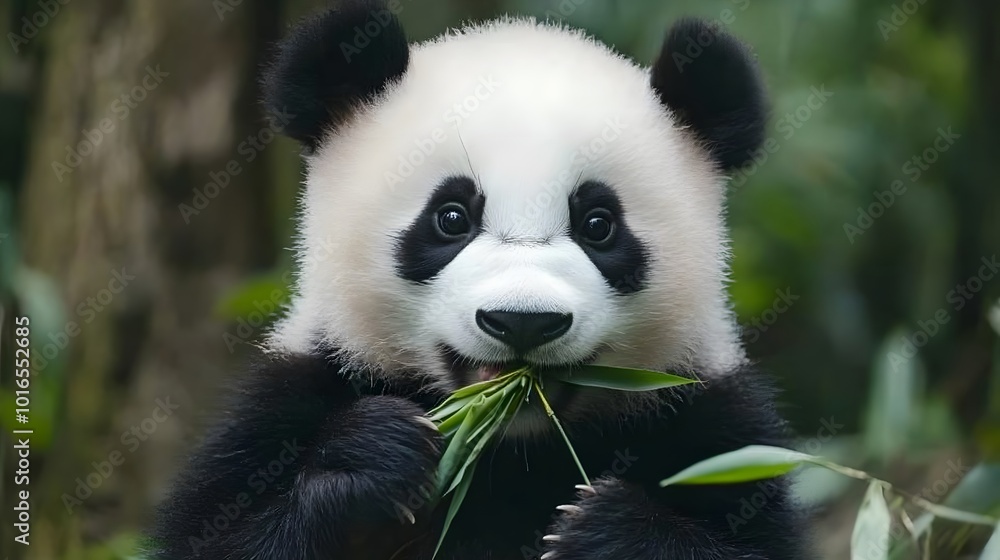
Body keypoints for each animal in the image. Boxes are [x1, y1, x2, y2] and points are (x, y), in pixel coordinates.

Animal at [153, 2, 808, 559]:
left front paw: (606, 527)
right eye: (451, 218)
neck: (509, 445)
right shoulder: (293, 397)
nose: (523, 322)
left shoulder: (712, 425)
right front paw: (372, 457)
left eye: (598, 225)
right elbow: (223, 533)